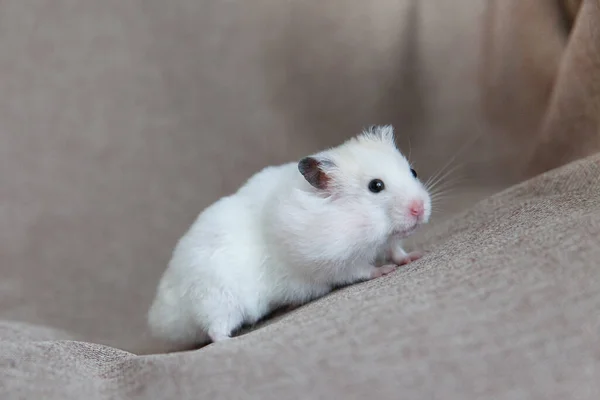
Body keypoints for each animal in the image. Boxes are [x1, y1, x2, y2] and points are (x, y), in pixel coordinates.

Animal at [147, 125, 428, 346]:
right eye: (376, 186)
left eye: (413, 172)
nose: (420, 209)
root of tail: (160, 316)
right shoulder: (332, 262)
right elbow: (360, 270)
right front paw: (384, 270)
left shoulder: (387, 241)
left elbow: (396, 250)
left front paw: (413, 256)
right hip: (217, 298)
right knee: (215, 330)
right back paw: (232, 339)